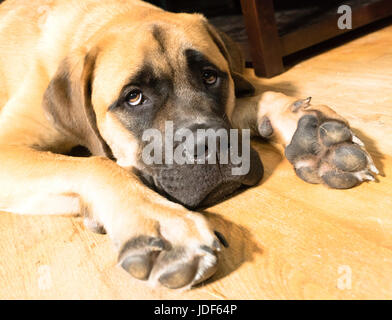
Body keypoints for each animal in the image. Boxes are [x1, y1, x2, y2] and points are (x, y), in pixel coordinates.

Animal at [0, 0, 380, 290]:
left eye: (210, 77)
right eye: (133, 97)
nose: (210, 143)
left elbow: (256, 98)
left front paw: (312, 134)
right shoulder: (7, 147)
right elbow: (99, 164)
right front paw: (159, 224)